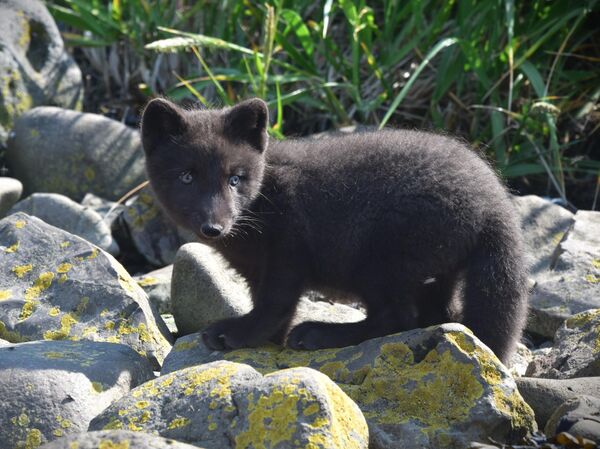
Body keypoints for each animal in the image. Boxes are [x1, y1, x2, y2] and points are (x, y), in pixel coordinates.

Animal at [142, 98, 528, 364]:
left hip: (381, 263)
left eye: (234, 178)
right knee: (435, 315)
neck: (266, 195)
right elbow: (270, 308)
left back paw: (318, 334)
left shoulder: (288, 253)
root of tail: (495, 202)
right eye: (186, 176)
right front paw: (264, 338)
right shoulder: (256, 268)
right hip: (433, 271)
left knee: (397, 317)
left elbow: (274, 304)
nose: (214, 228)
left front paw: (237, 334)